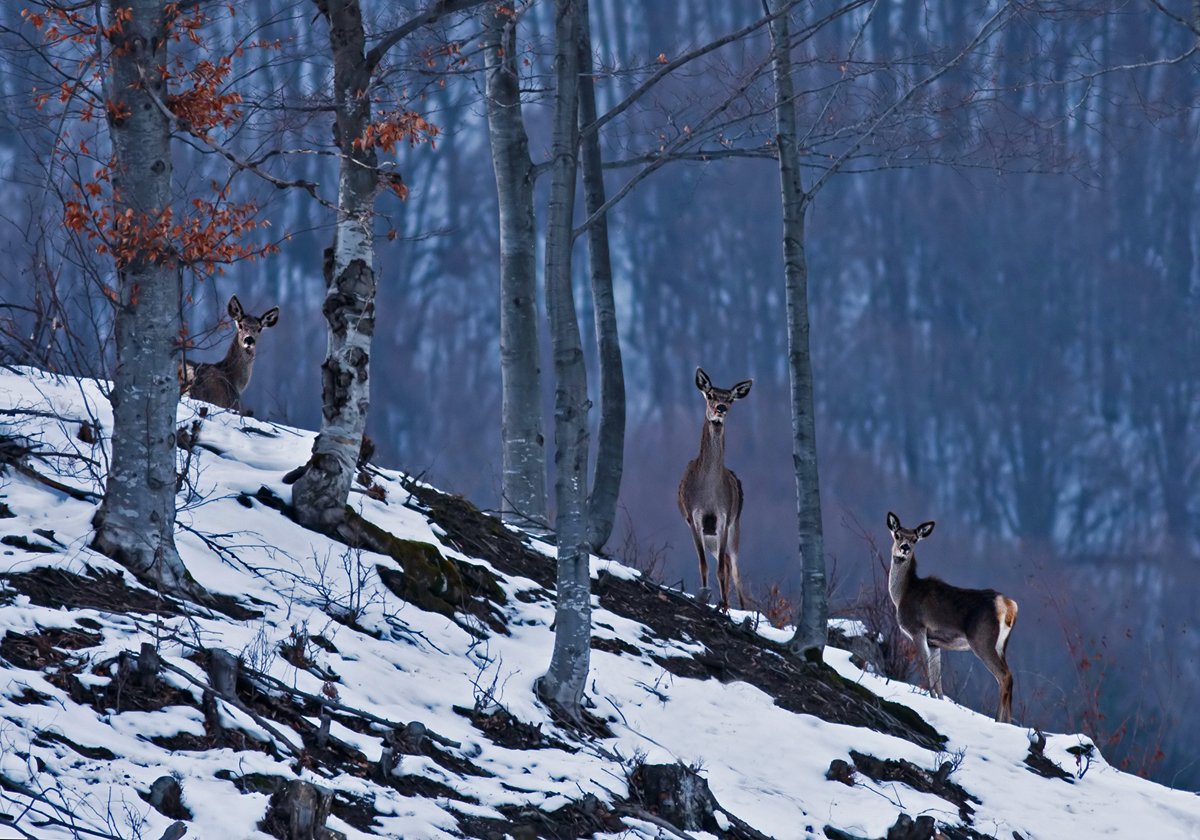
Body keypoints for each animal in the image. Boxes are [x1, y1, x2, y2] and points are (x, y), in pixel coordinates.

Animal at [676, 364, 748, 609]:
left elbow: (721, 570)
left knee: (734, 568)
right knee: (725, 561)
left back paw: (740, 608)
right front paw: (705, 598)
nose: (721, 408)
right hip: (711, 537)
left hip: (735, 527)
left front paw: (724, 606)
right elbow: (703, 565)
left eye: (731, 398)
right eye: (710, 395)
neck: (708, 494)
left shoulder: (723, 517)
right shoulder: (694, 518)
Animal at [888, 511, 1017, 720]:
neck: (903, 594)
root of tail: (1008, 605)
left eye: (914, 539)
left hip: (982, 640)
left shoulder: (917, 629)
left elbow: (926, 669)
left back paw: (998, 720)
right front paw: (938, 701)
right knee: (1010, 676)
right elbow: (938, 679)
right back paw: (1007, 722)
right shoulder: (934, 642)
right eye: (897, 535)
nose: (904, 548)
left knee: (1004, 676)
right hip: (1001, 645)